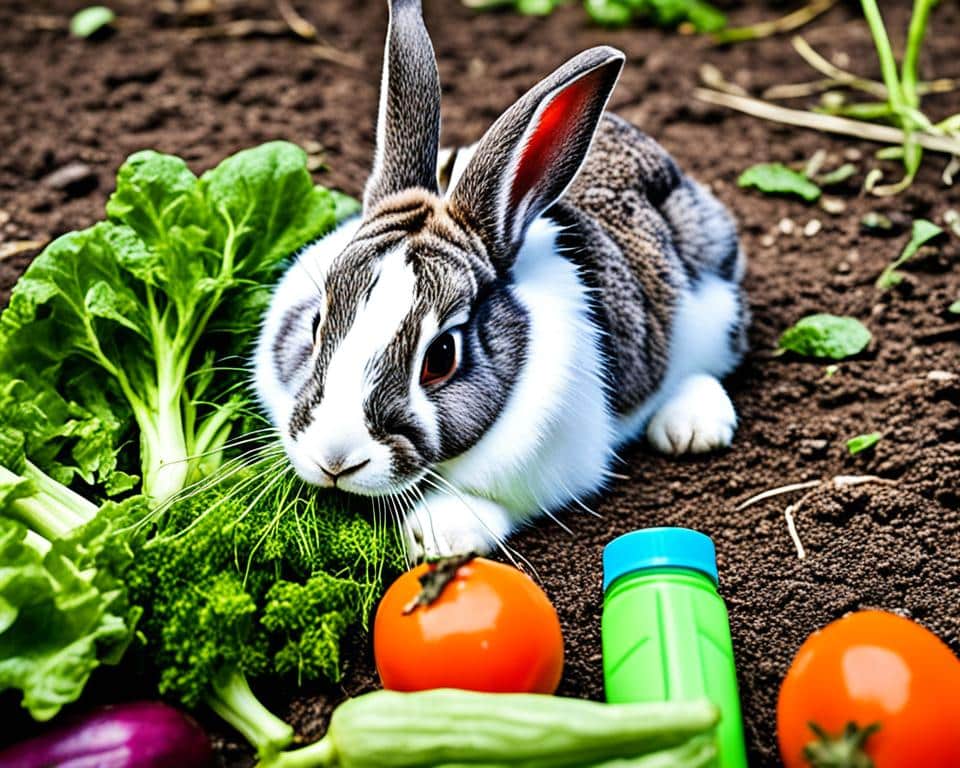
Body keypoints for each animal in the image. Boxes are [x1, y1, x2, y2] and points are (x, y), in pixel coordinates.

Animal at [255, 0, 752, 560]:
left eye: (441, 357)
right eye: (316, 324)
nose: (336, 459)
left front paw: (437, 535)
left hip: (713, 313)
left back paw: (692, 428)